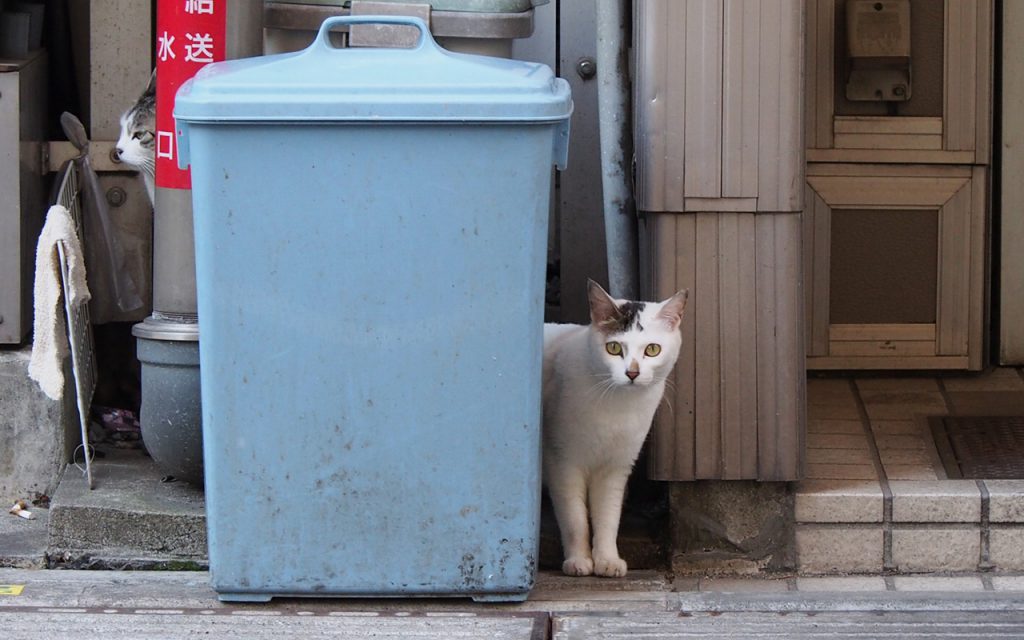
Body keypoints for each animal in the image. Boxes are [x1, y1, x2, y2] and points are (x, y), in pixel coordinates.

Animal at [544, 276, 688, 577]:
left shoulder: (615, 468)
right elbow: (575, 520)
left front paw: (607, 560)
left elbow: (608, 518)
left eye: (652, 349)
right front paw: (578, 561)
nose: (632, 373)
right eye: (614, 348)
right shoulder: (562, 464)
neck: (617, 406)